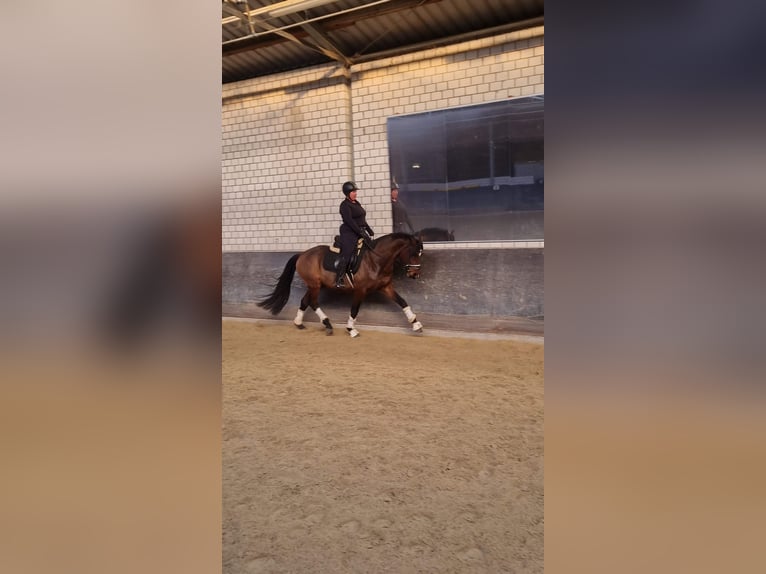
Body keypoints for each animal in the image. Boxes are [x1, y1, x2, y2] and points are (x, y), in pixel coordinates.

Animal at [258, 234, 426, 338]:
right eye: (413, 253)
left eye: (420, 253)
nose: (415, 275)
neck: (376, 260)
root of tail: (302, 254)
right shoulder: (360, 290)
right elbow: (354, 309)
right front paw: (351, 330)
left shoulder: (385, 287)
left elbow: (402, 302)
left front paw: (416, 324)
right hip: (314, 285)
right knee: (313, 302)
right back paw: (327, 324)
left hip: (316, 285)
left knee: (305, 301)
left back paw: (299, 323)